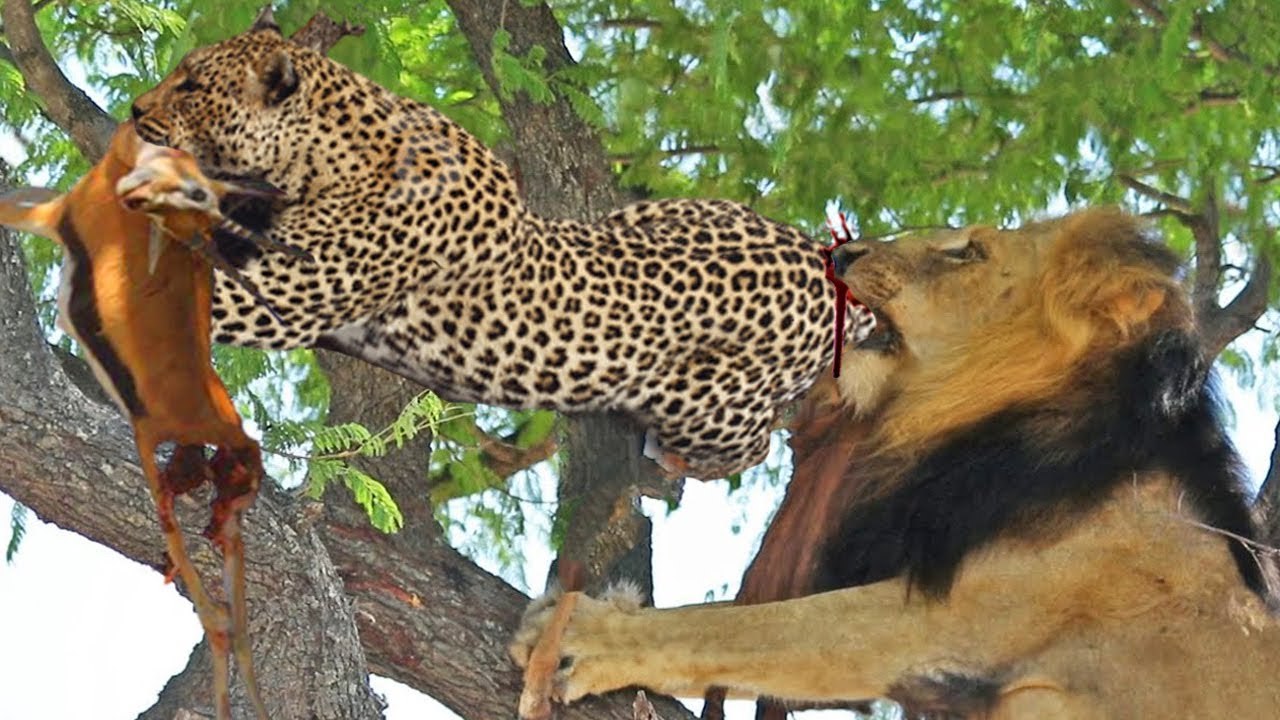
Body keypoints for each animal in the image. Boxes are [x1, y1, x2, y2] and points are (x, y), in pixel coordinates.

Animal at [130, 10, 858, 480]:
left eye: (191, 85)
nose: (136, 110)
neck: (314, 159)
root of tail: (819, 264)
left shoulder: (293, 289)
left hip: (706, 398)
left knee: (754, 446)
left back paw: (675, 457)